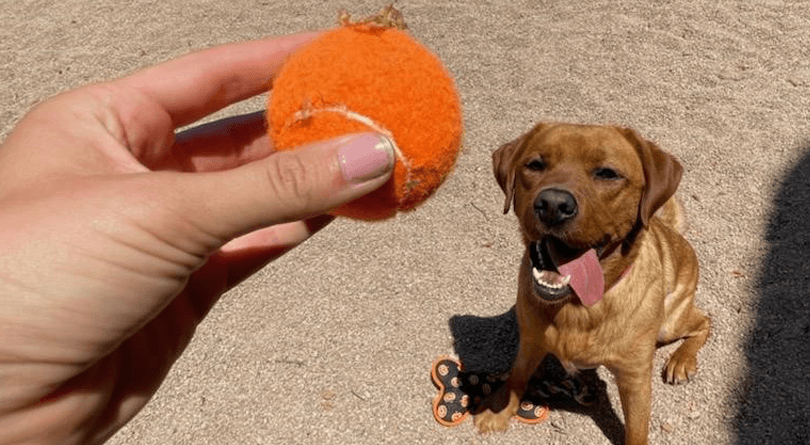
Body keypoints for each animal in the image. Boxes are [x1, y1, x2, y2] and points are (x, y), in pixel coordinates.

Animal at [474, 122, 708, 444]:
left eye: (607, 173)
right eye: (535, 165)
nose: (552, 205)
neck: (576, 306)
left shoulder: (634, 377)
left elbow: (636, 430)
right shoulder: (531, 340)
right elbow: (517, 374)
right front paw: (499, 407)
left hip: (671, 321)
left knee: (703, 321)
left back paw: (682, 360)